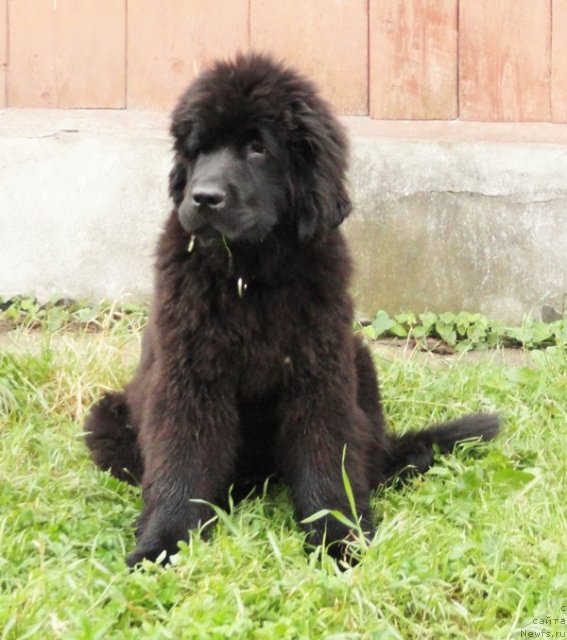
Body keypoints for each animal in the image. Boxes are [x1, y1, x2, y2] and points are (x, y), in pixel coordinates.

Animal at [84, 53, 496, 564]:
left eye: (258, 148)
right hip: (107, 417)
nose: (202, 198)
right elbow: (182, 460)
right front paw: (161, 543)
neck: (251, 275)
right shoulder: (190, 374)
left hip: (358, 358)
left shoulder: (319, 372)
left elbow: (326, 460)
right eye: (198, 149)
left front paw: (338, 540)